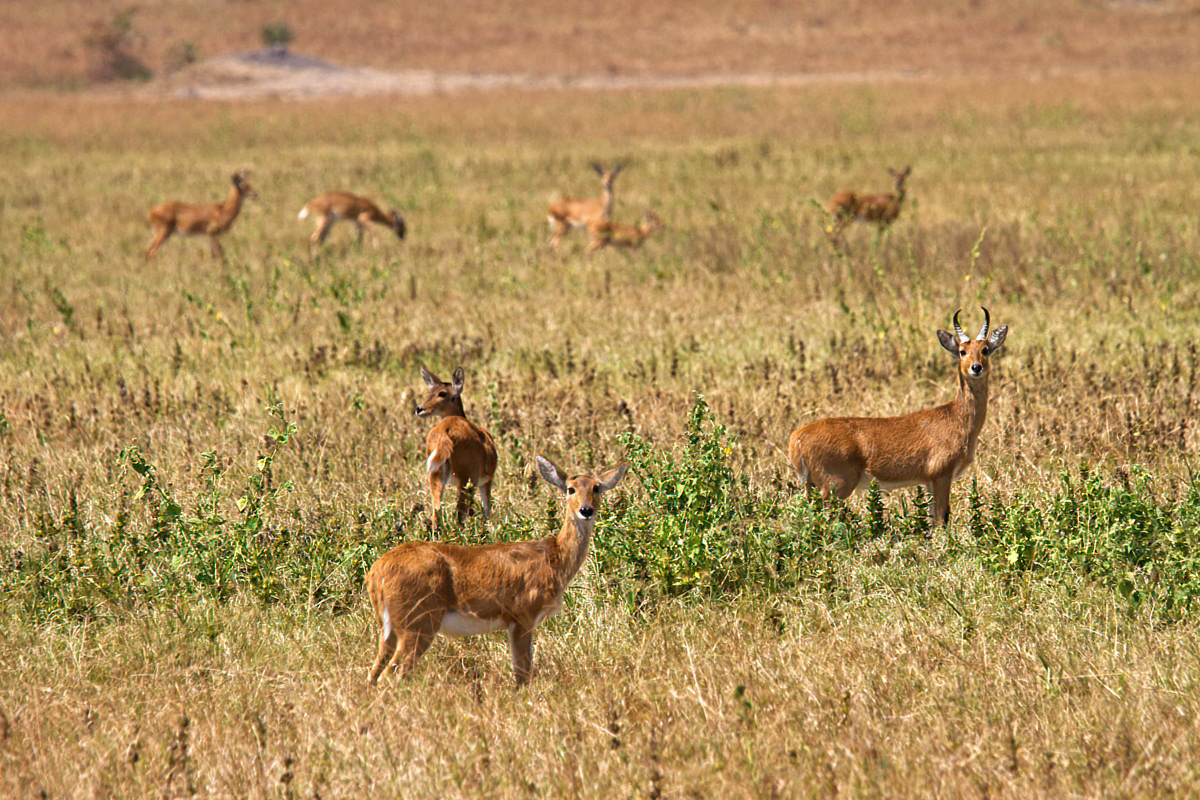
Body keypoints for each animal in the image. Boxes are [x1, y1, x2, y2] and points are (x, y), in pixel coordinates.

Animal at [364, 453, 628, 686]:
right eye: (571, 489)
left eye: (596, 487)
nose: (586, 510)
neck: (554, 559)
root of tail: (377, 572)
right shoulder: (523, 615)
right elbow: (523, 675)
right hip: (418, 622)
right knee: (391, 675)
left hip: (391, 627)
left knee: (373, 673)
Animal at [417, 364, 496, 527]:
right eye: (429, 392)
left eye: (442, 393)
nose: (419, 408)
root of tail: (444, 430)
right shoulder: (486, 481)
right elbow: (487, 510)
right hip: (467, 480)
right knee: (460, 514)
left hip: (436, 474)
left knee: (436, 511)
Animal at [787, 309, 1003, 527]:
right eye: (962, 351)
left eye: (985, 349)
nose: (976, 367)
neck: (956, 417)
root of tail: (797, 437)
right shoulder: (941, 475)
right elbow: (942, 518)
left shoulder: (929, 481)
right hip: (834, 486)